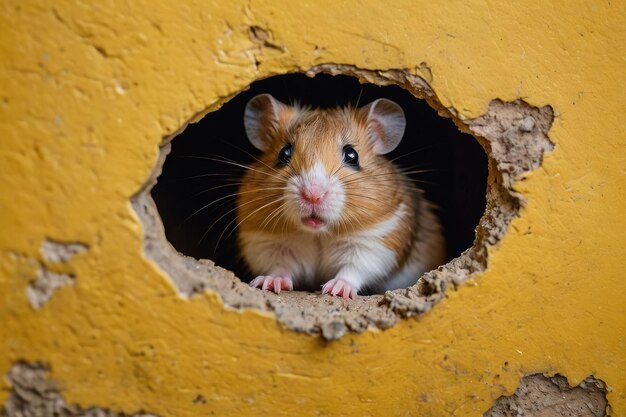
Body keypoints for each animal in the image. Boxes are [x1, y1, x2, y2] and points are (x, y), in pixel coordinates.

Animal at [235, 92, 444, 298]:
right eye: (284, 153)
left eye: (352, 155)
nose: (313, 195)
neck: (318, 233)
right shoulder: (268, 243)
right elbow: (279, 266)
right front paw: (269, 283)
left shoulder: (377, 241)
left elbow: (353, 269)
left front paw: (335, 290)